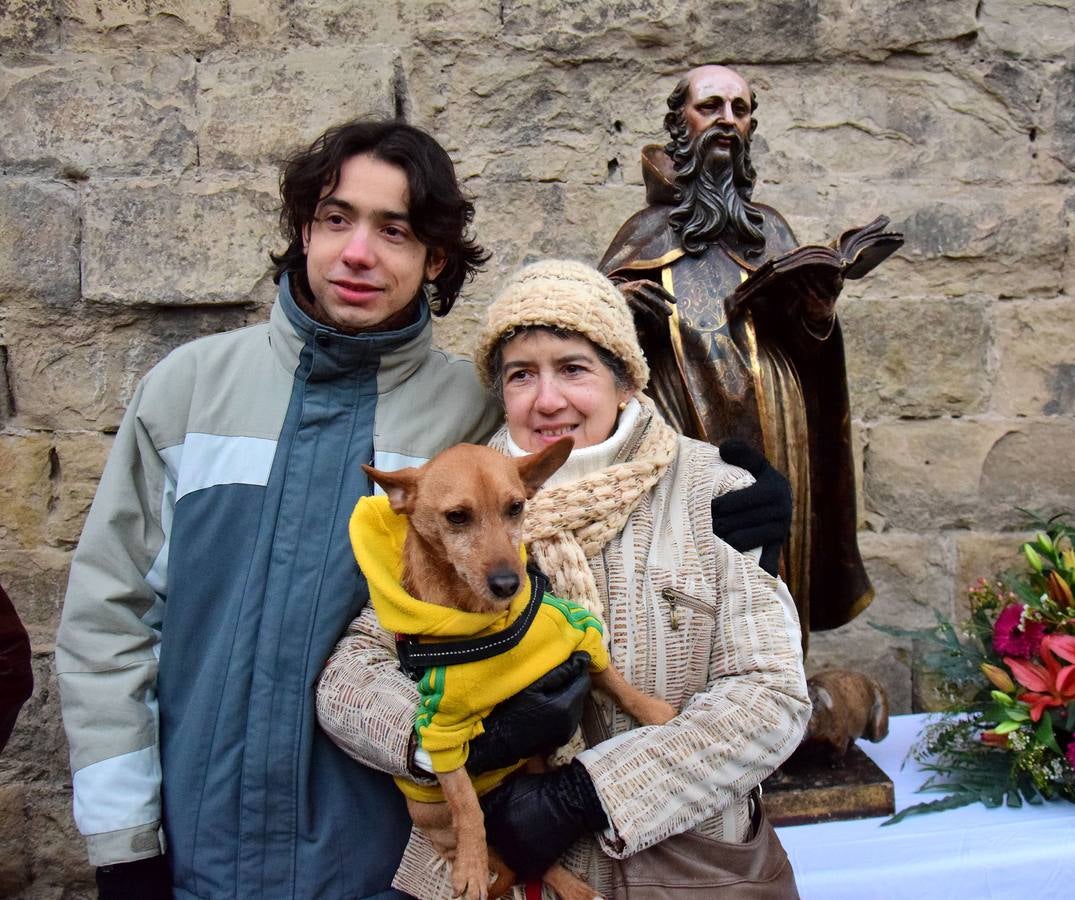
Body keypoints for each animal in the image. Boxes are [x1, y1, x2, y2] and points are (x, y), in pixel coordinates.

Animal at [365, 438, 675, 898]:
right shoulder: (441, 729)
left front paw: (653, 711)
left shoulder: (577, 639)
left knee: (532, 858)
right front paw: (473, 868)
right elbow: (464, 799)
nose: (508, 583)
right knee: (508, 848)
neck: (488, 620)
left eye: (515, 508)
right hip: (443, 823)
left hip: (533, 767)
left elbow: (613, 679)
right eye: (457, 517)